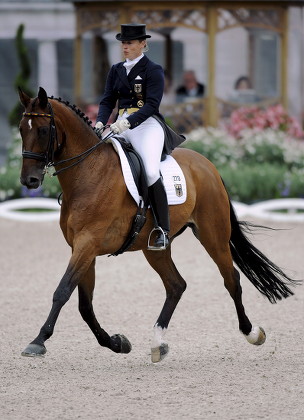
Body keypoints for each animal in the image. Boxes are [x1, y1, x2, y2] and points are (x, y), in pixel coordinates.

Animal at [17, 87, 298, 362]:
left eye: (43, 130)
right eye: (21, 129)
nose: (29, 180)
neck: (89, 173)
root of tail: (208, 166)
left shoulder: (87, 244)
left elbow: (62, 291)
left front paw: (38, 341)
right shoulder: (81, 248)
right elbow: (84, 305)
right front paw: (117, 343)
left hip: (213, 236)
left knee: (231, 280)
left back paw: (252, 333)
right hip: (154, 247)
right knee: (176, 285)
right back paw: (158, 343)